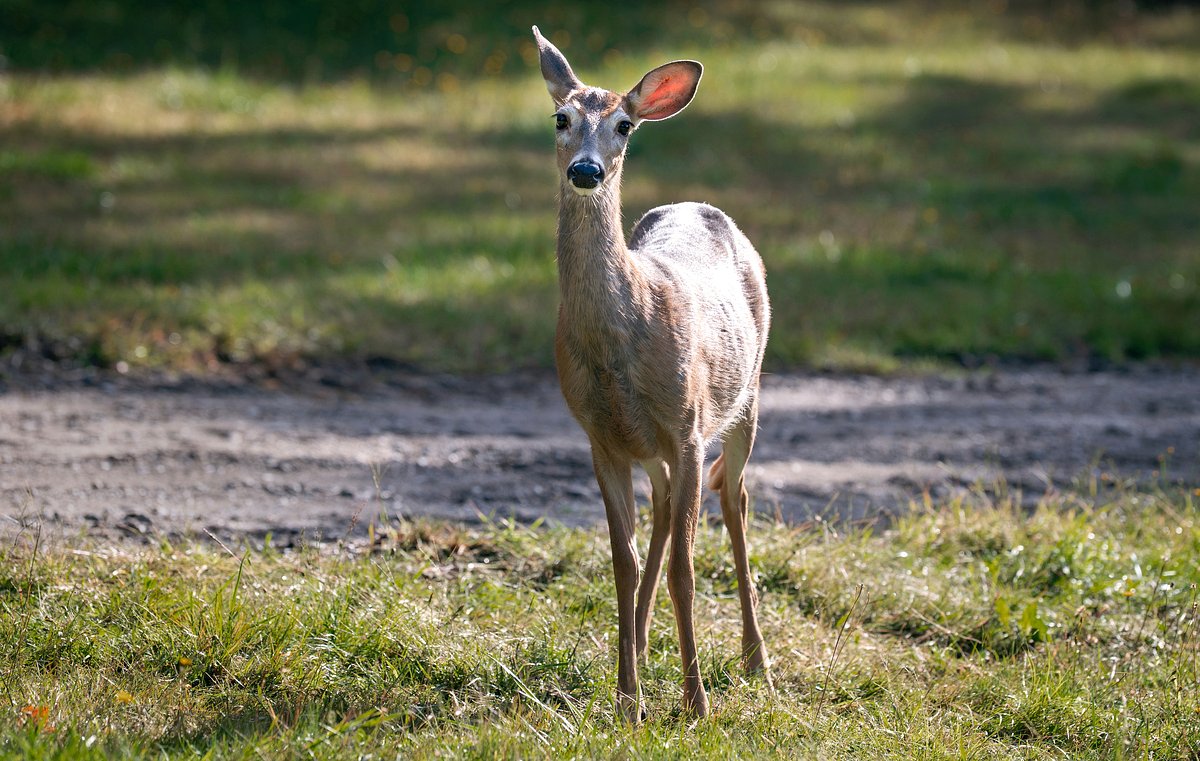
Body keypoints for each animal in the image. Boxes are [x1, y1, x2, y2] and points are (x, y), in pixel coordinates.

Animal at [532, 27, 772, 721]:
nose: (586, 170)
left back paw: (757, 661)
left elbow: (684, 573)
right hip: (656, 446)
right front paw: (627, 698)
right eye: (561, 118)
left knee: (735, 498)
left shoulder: (688, 429)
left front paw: (696, 704)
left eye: (624, 126)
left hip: (744, 396)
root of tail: (701, 205)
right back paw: (639, 650)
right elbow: (624, 563)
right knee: (666, 512)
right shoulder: (601, 438)